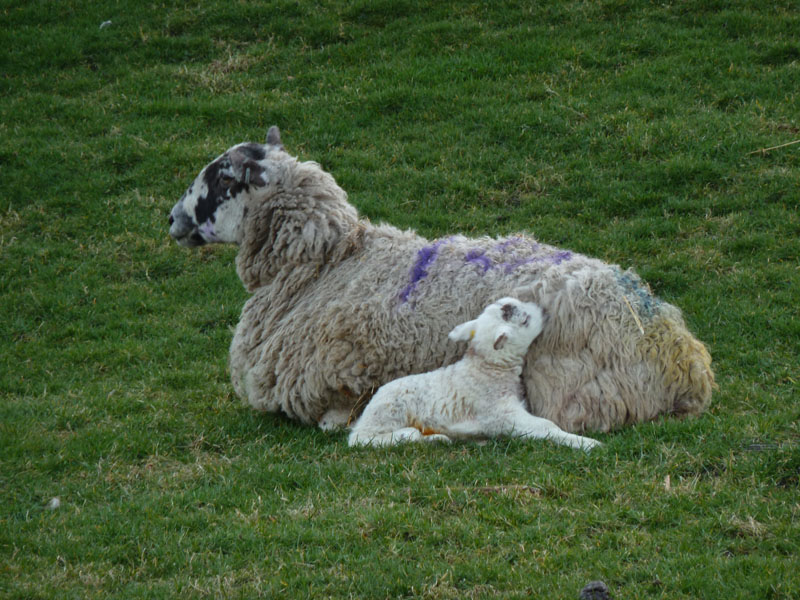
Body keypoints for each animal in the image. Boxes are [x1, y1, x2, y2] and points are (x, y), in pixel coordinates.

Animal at [168, 126, 714, 433]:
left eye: (220, 176)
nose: (171, 219)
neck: (324, 265)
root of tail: (678, 353)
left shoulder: (339, 374)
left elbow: (333, 415)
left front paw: (334, 423)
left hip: (576, 392)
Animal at [348, 297, 601, 451]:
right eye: (525, 320)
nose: (543, 310)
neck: (486, 368)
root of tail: (366, 410)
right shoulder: (501, 415)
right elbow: (547, 427)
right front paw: (586, 443)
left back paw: (436, 438)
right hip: (388, 412)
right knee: (362, 439)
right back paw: (408, 435)